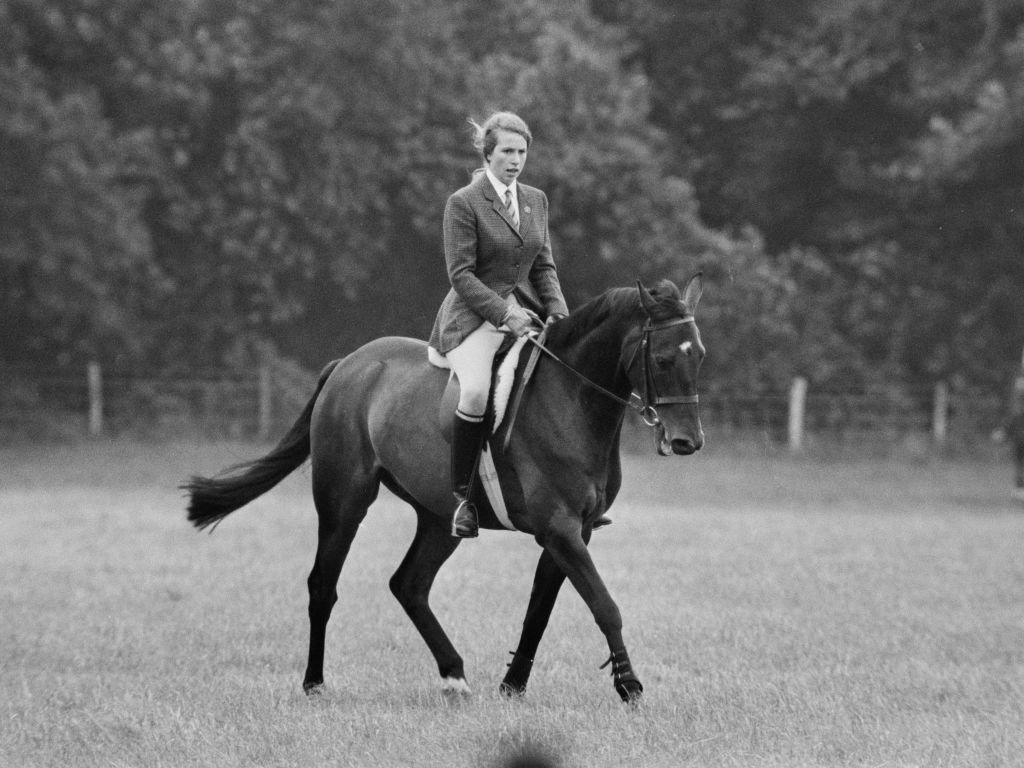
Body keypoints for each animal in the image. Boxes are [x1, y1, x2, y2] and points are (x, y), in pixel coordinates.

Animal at [184, 274, 704, 704]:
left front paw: (512, 685)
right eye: (661, 358)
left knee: (409, 585)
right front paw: (629, 685)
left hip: (438, 519)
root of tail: (349, 364)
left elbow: (540, 609)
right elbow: (604, 604)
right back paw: (315, 683)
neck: (569, 400)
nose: (688, 442)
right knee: (323, 586)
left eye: (698, 355)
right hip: (343, 503)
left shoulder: (576, 530)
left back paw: (454, 675)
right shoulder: (559, 529)